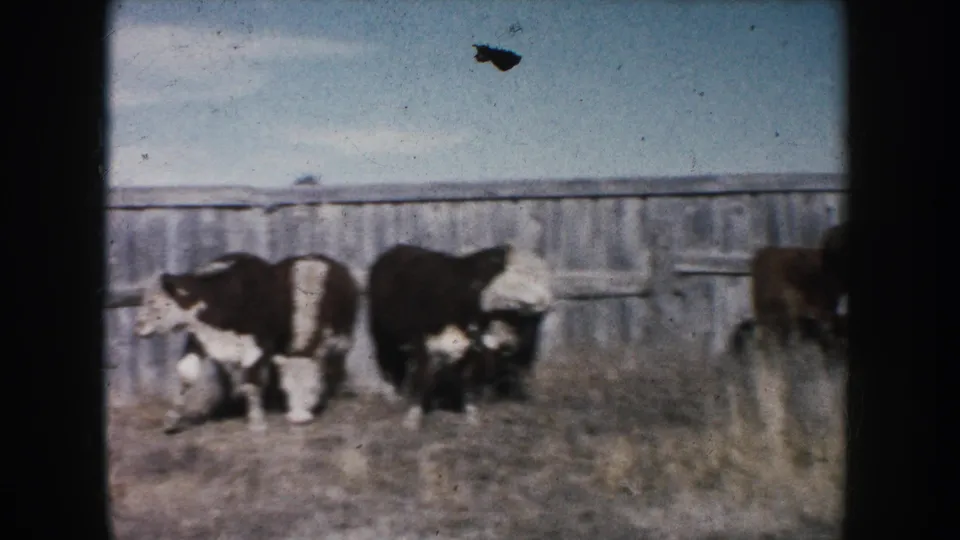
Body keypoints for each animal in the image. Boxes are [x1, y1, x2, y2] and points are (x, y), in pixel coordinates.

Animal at [133, 251, 359, 433]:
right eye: (145, 300)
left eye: (154, 302)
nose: (138, 327)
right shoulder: (199, 339)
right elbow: (186, 375)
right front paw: (171, 420)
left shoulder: (257, 345)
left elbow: (251, 382)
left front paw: (257, 422)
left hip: (343, 338)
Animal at [366, 243, 553, 430]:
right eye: (516, 307)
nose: (543, 301)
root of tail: (395, 250)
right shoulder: (422, 342)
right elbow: (423, 377)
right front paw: (413, 418)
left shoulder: (472, 351)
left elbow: (466, 380)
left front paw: (471, 414)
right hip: (383, 333)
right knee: (388, 360)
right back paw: (392, 395)